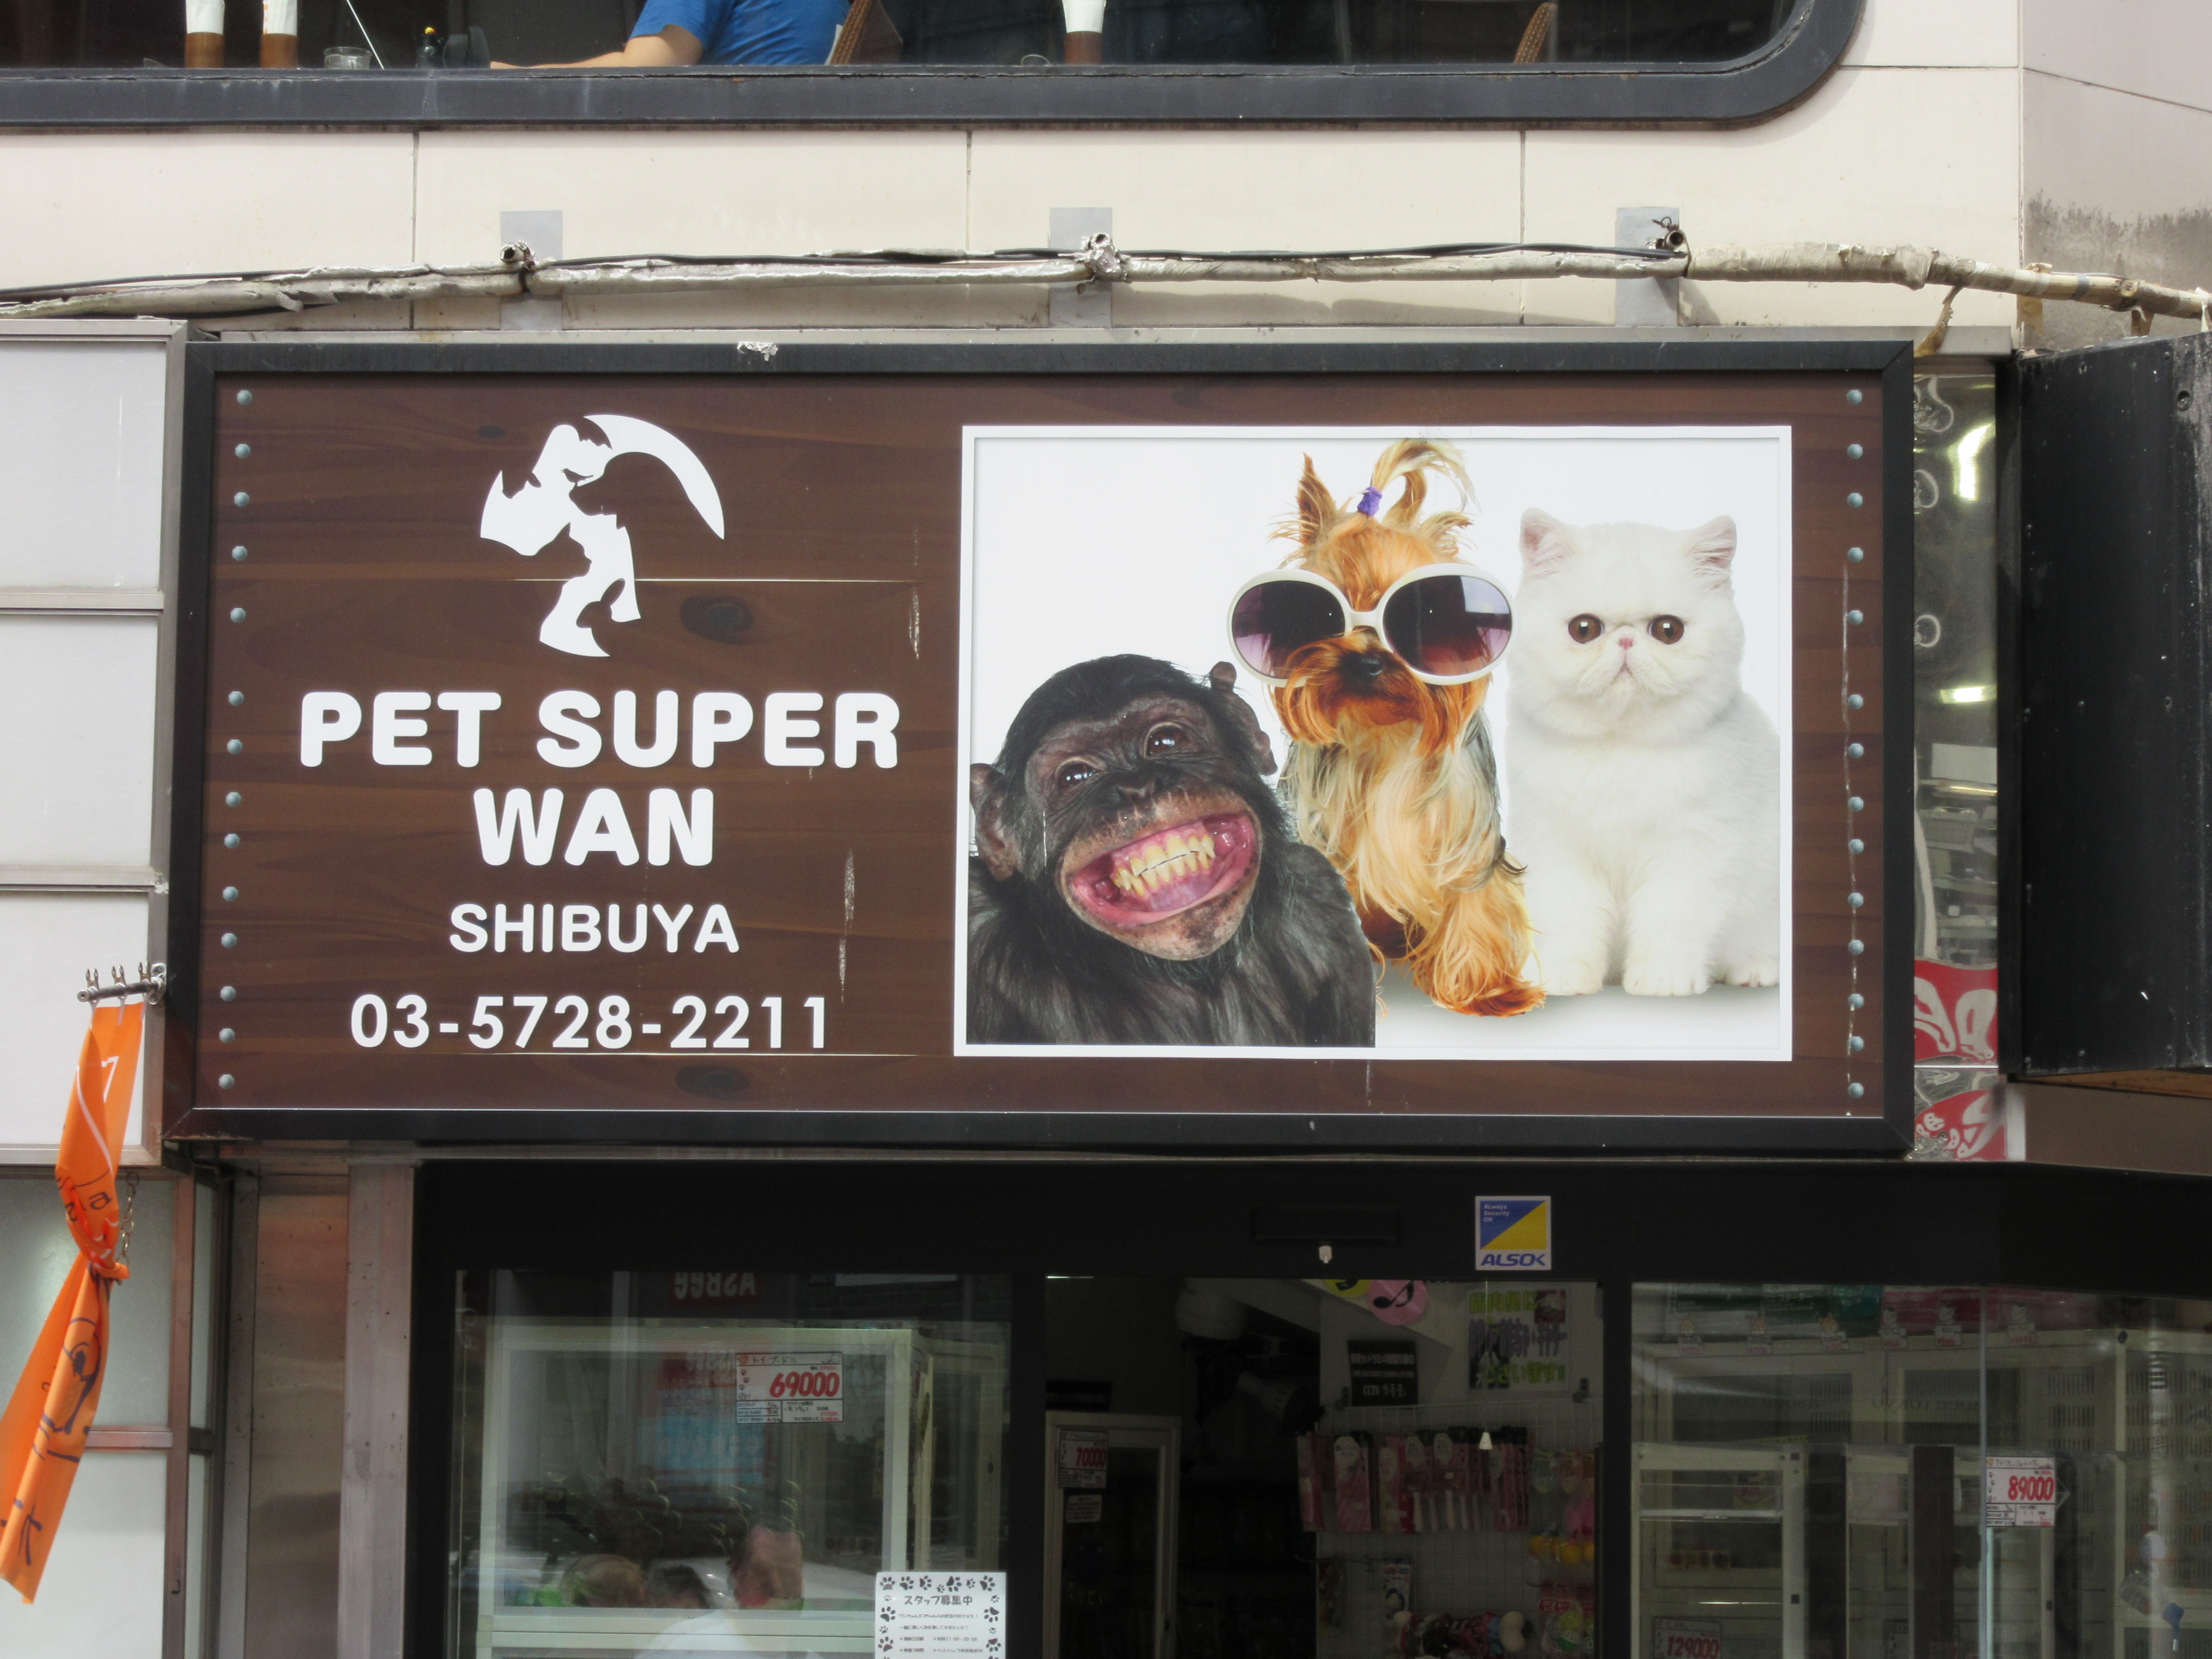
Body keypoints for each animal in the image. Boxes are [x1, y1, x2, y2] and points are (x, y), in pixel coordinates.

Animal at [1231, 438, 1541, 1017]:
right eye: (1310, 614)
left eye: (1429, 614)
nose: (1366, 662)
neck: (1385, 733)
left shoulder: (1468, 835)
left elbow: (1473, 899)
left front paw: (1487, 990)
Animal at [1504, 509, 1781, 997]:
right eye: (1584, 629)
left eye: (1668, 631)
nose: (1626, 642)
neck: (1621, 747)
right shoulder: (1556, 850)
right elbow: (1567, 917)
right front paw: (1560, 975)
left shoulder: (1692, 852)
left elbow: (1669, 919)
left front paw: (1663, 979)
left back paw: (1755, 970)